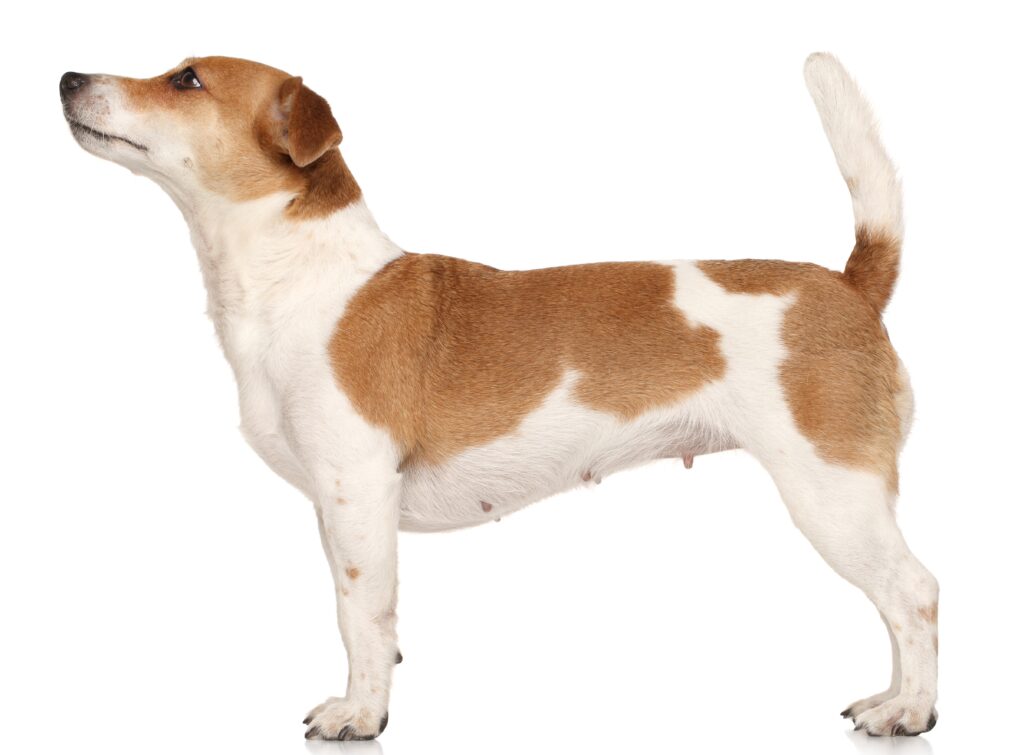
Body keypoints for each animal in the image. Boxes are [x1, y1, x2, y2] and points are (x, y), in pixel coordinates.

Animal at [59, 54, 937, 741]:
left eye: (186, 78)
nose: (68, 77)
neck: (300, 274)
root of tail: (848, 284)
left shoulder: (357, 493)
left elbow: (360, 617)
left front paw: (361, 714)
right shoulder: (337, 509)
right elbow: (367, 613)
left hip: (833, 492)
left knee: (914, 593)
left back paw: (912, 711)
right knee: (896, 605)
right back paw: (894, 697)